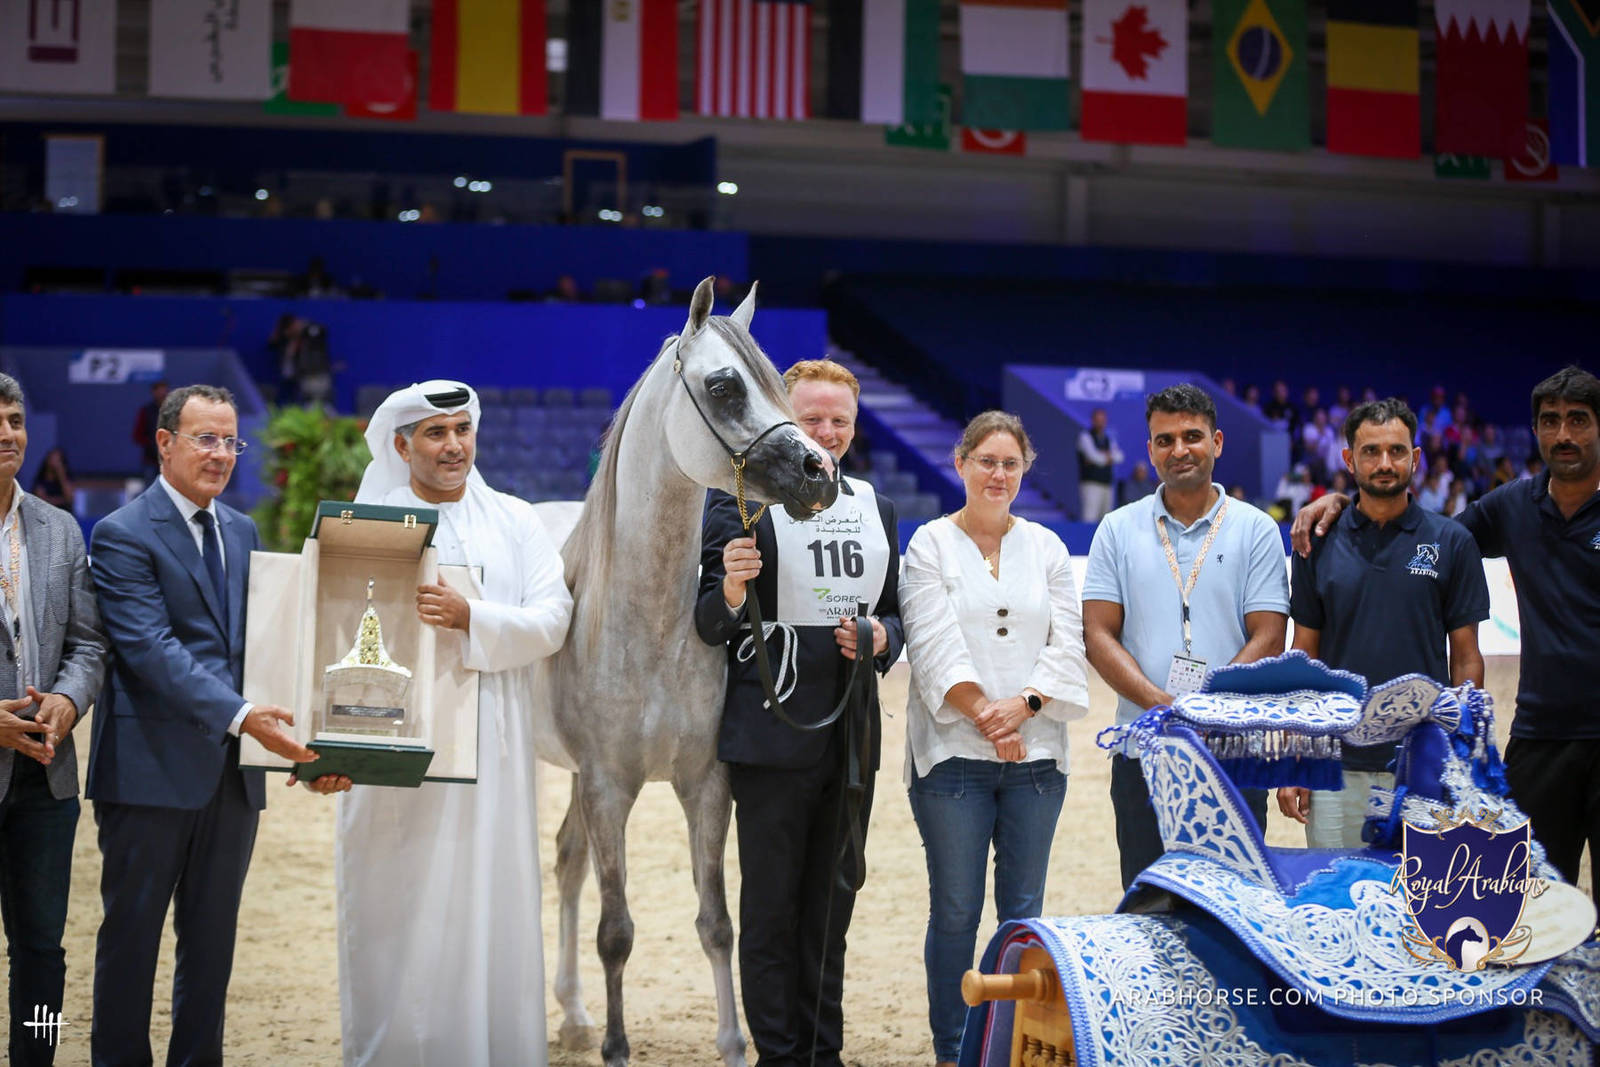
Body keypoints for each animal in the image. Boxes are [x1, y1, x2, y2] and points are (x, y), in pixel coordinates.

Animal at [532, 275, 838, 1067]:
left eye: (777, 382)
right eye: (725, 385)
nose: (819, 472)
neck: (649, 630)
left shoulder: (705, 783)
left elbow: (717, 921)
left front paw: (733, 1041)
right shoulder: (609, 787)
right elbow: (617, 931)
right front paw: (617, 1047)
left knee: (567, 861)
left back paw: (573, 1014)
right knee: (571, 871)